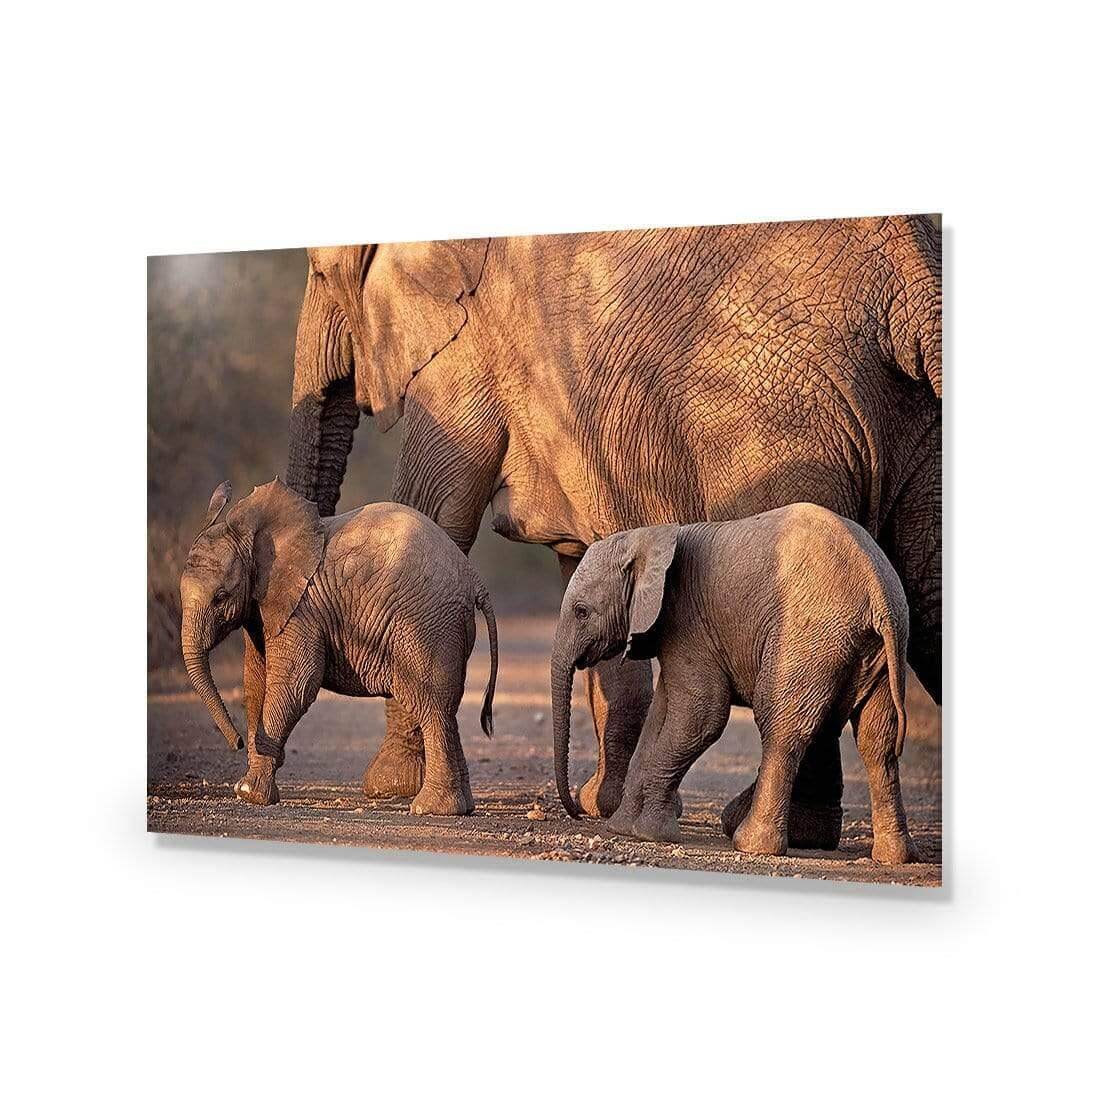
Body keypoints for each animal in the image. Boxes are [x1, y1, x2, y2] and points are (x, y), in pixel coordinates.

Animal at [180, 478, 498, 815]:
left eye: (221, 597)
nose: (237, 742)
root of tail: (474, 579)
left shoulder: (301, 608)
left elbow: (295, 684)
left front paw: (249, 793)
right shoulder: (261, 608)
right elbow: (256, 684)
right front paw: (250, 786)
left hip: (429, 626)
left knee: (432, 706)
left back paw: (431, 809)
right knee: (446, 709)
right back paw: (460, 807)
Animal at [551, 505, 919, 864]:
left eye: (582, 612)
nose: (577, 813)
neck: (650, 537)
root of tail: (876, 586)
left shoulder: (689, 622)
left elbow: (702, 717)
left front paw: (650, 833)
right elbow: (662, 713)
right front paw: (623, 826)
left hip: (807, 637)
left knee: (780, 728)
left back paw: (752, 844)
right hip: (880, 650)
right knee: (877, 742)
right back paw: (895, 857)